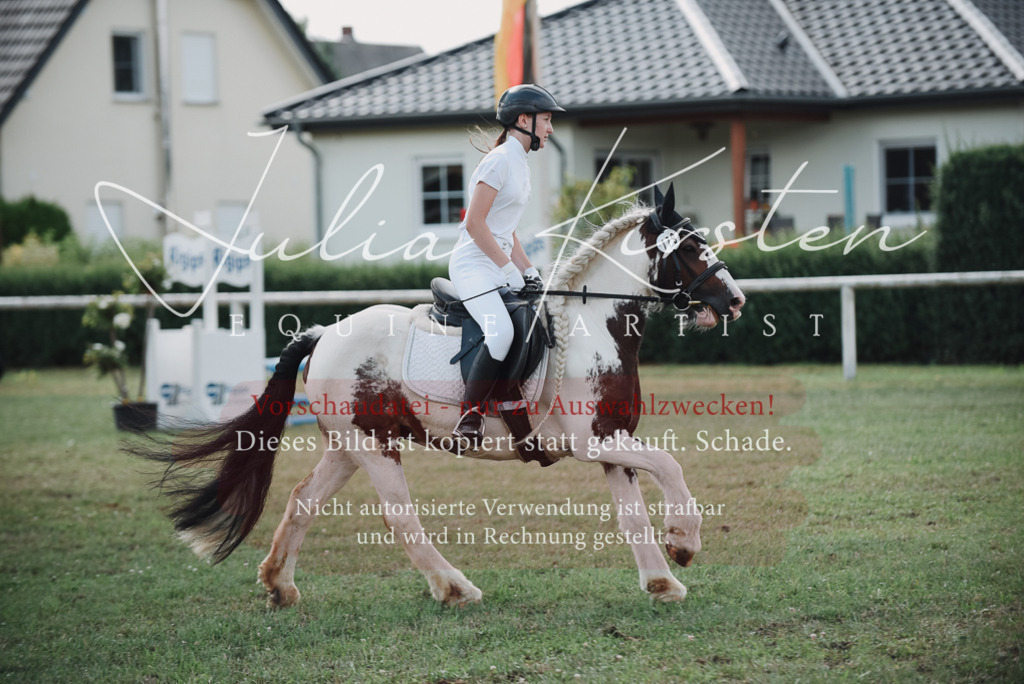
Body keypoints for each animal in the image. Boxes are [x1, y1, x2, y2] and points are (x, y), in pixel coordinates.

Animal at [136, 184, 745, 606]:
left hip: (349, 444)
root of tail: (324, 334)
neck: (593, 326)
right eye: (692, 247)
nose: (736, 301)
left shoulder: (611, 440)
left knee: (304, 500)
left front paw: (662, 582)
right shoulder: (594, 442)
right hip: (376, 445)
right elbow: (671, 466)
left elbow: (634, 515)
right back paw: (455, 589)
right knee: (400, 518)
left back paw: (279, 585)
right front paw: (684, 543)